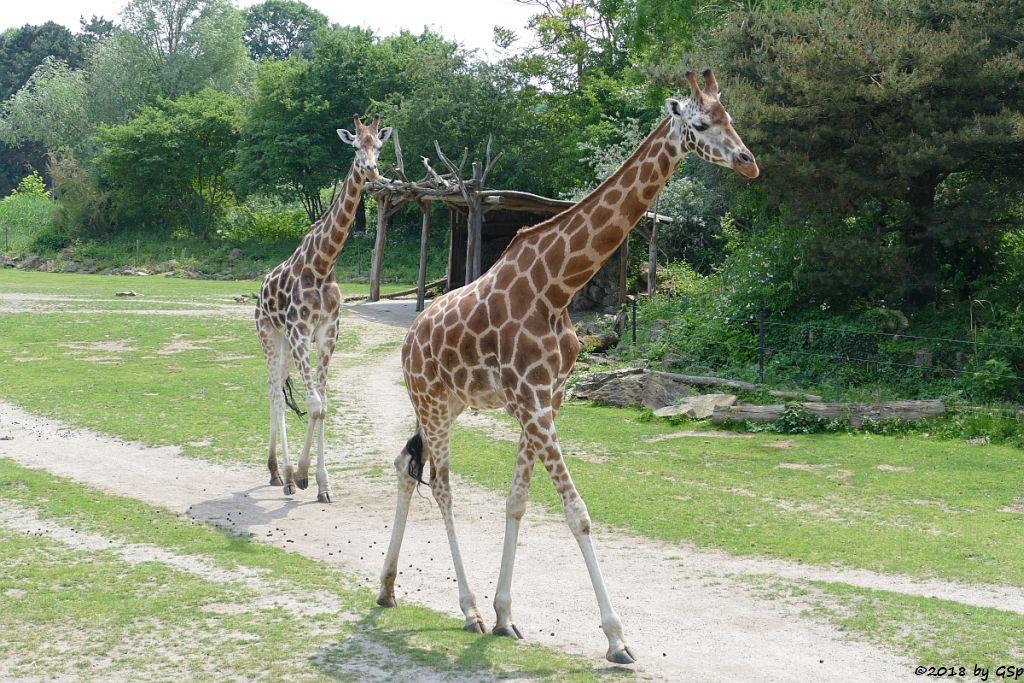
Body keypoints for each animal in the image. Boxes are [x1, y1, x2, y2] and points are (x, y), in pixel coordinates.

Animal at [256, 114, 391, 505]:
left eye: (379, 145)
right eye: (355, 146)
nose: (372, 171)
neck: (322, 264)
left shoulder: (328, 333)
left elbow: (324, 404)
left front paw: (321, 484)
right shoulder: (302, 331)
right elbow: (314, 404)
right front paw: (300, 475)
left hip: (286, 344)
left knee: (278, 388)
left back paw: (275, 472)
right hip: (270, 335)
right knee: (273, 391)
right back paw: (282, 474)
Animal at [376, 69, 761, 663]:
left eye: (730, 117)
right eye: (699, 124)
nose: (748, 161)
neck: (557, 285)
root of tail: (409, 338)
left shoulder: (546, 400)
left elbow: (516, 501)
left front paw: (506, 616)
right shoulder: (534, 403)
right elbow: (577, 512)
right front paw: (617, 638)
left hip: (452, 403)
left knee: (405, 464)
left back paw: (389, 589)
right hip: (433, 403)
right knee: (440, 485)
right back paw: (465, 610)